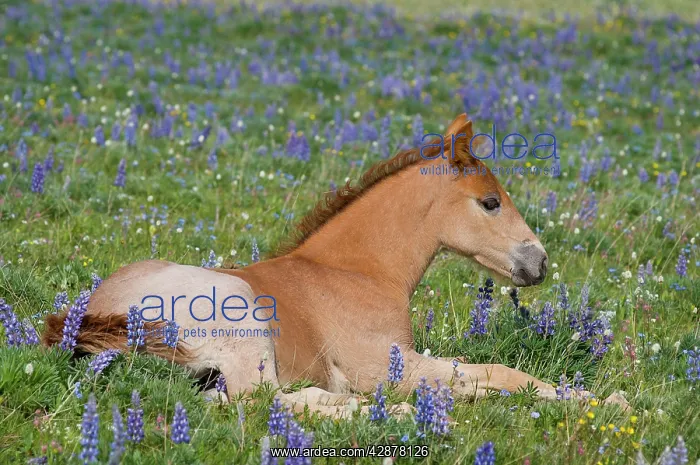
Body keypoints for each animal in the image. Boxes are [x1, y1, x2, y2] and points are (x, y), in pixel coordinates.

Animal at [43, 113, 628, 416]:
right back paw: (382, 413)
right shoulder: (390, 366)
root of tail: (90, 317)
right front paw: (606, 400)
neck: (358, 273)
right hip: (244, 325)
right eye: (490, 202)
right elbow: (497, 372)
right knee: (263, 400)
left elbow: (485, 376)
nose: (539, 262)